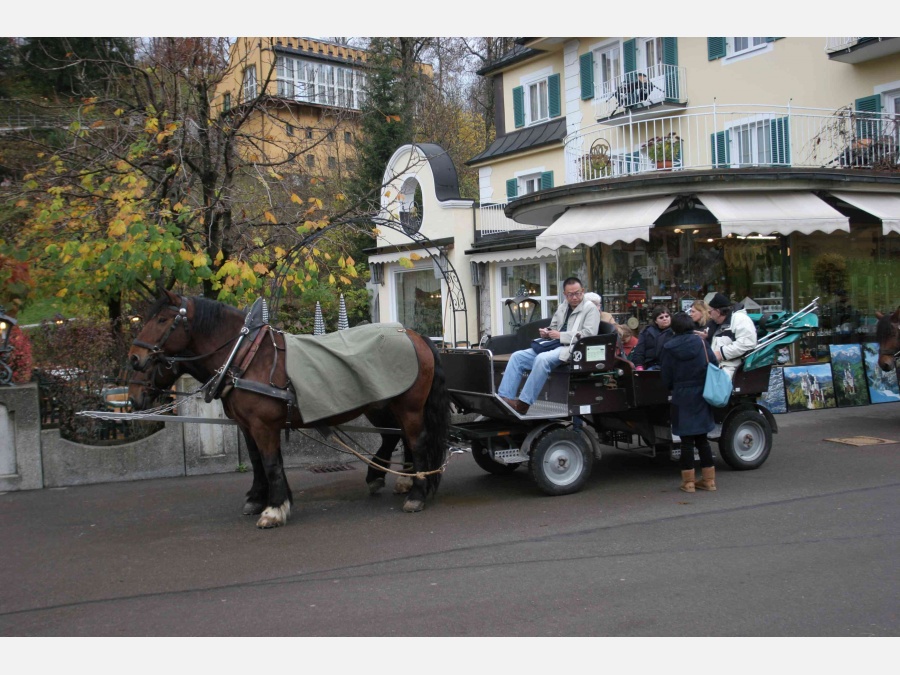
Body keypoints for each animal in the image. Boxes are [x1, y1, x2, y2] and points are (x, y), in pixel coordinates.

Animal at [128, 290, 448, 528]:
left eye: (162, 319)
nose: (134, 359)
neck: (246, 356)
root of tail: (413, 334)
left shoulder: (263, 425)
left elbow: (271, 463)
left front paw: (274, 509)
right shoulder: (247, 425)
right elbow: (258, 462)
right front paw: (259, 498)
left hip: (409, 406)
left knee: (417, 441)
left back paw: (417, 493)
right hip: (384, 404)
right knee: (397, 436)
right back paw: (393, 479)